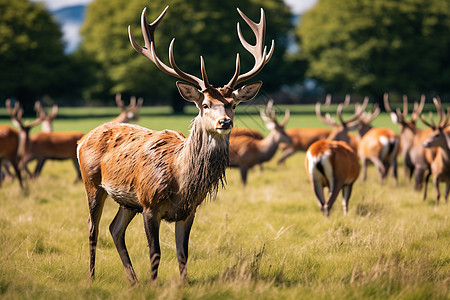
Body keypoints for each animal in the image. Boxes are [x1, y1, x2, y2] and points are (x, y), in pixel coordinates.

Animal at [77, 6, 272, 284]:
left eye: (233, 104)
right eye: (205, 105)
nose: (224, 122)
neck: (181, 182)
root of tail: (82, 139)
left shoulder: (189, 211)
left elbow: (183, 252)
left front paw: (183, 284)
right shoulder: (149, 204)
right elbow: (155, 252)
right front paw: (154, 284)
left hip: (127, 202)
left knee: (114, 229)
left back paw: (133, 280)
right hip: (92, 182)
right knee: (93, 228)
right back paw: (92, 276)